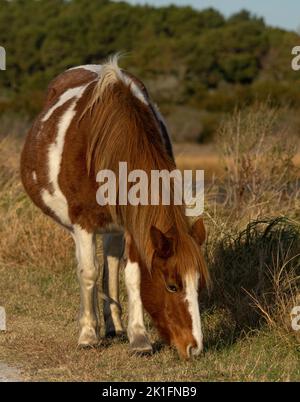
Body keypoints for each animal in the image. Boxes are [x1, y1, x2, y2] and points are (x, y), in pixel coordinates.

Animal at [20, 55, 209, 358]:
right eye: (172, 285)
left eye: (198, 284)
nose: (194, 347)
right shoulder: (83, 222)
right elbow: (88, 273)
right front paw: (87, 335)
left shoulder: (134, 224)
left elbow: (132, 275)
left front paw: (139, 337)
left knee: (110, 263)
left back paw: (114, 325)